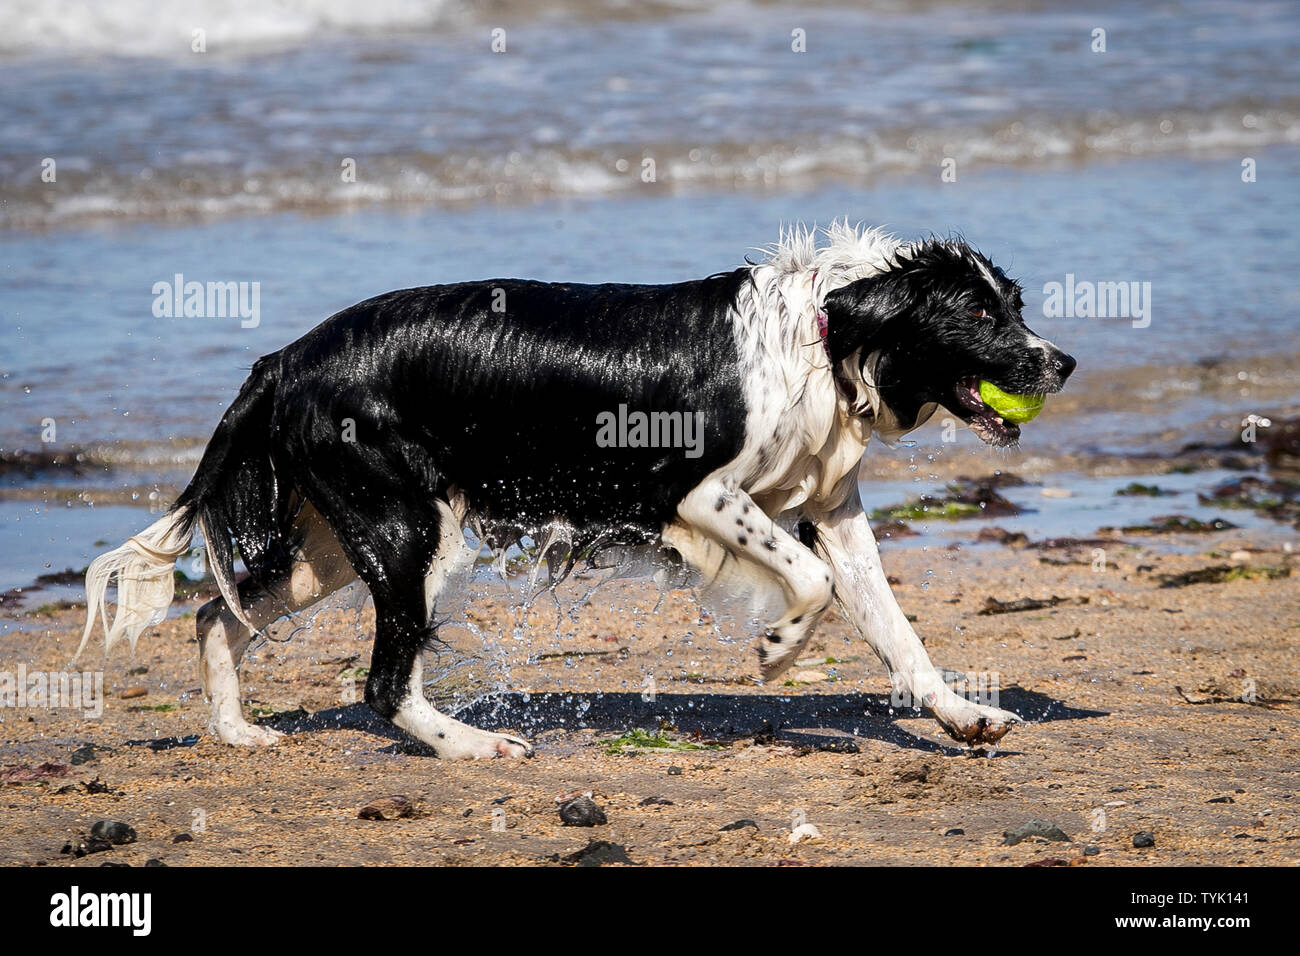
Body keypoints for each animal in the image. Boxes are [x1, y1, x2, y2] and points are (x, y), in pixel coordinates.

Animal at [81, 221, 1076, 759]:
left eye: (1014, 305)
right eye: (978, 312)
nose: (1061, 362)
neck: (829, 335)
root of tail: (286, 359)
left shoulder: (833, 512)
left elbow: (896, 631)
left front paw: (966, 717)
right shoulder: (695, 496)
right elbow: (813, 583)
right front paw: (779, 649)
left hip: (350, 536)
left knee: (218, 612)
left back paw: (237, 731)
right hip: (412, 535)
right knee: (381, 682)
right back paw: (476, 745)